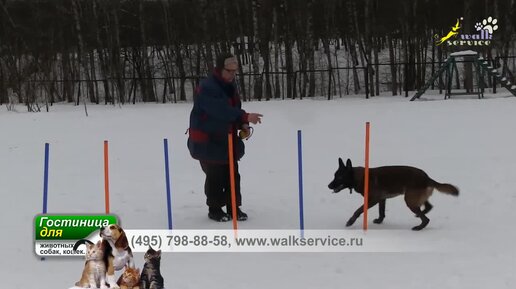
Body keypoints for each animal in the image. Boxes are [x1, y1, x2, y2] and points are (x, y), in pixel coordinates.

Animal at [328, 158, 458, 230]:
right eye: (334, 175)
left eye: (339, 177)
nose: (329, 186)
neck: (359, 177)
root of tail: (427, 178)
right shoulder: (382, 199)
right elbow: (381, 212)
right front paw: (379, 221)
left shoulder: (373, 200)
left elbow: (358, 210)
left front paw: (350, 221)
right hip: (414, 198)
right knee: (428, 207)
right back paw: (419, 216)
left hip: (409, 200)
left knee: (426, 219)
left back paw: (419, 227)